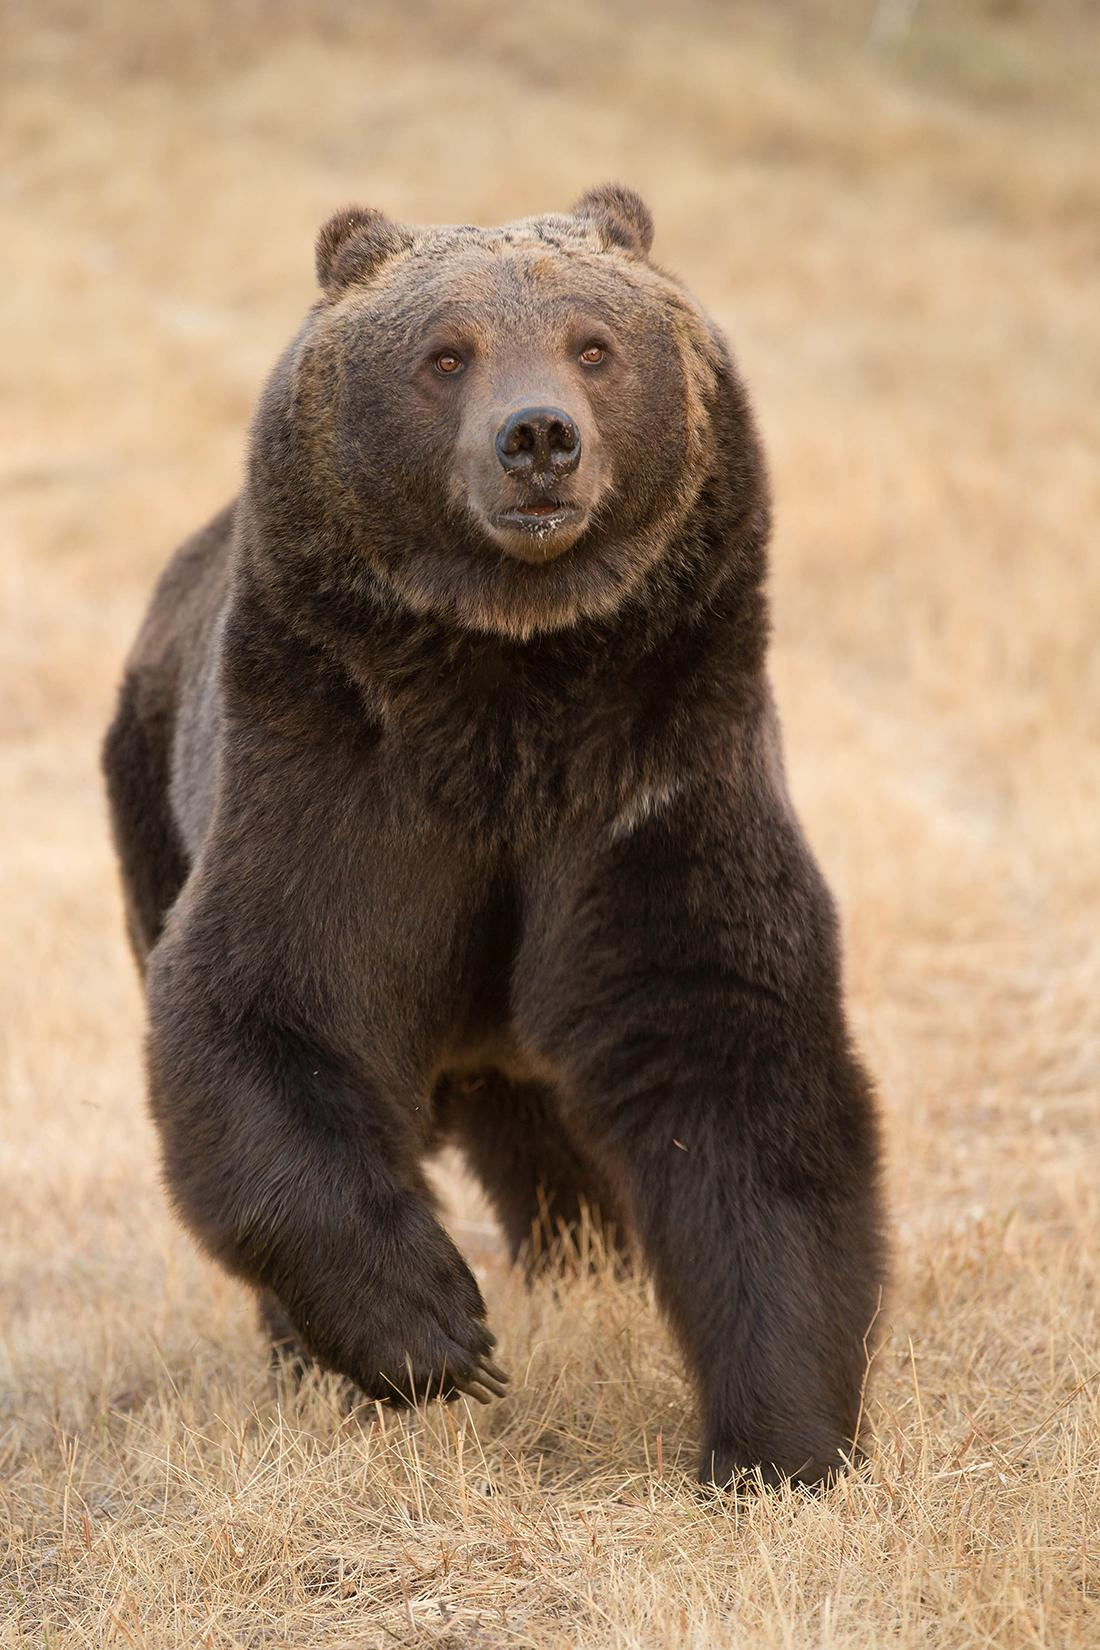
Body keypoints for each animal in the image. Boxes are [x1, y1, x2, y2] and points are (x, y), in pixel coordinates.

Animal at [103, 187, 890, 1491]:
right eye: (445, 352)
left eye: (592, 343)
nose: (538, 439)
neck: (510, 675)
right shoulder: (334, 769)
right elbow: (263, 1001)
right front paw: (432, 1332)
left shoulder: (654, 773)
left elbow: (734, 1058)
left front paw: (779, 1442)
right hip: (149, 796)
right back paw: (313, 1357)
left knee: (546, 1123)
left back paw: (586, 1260)